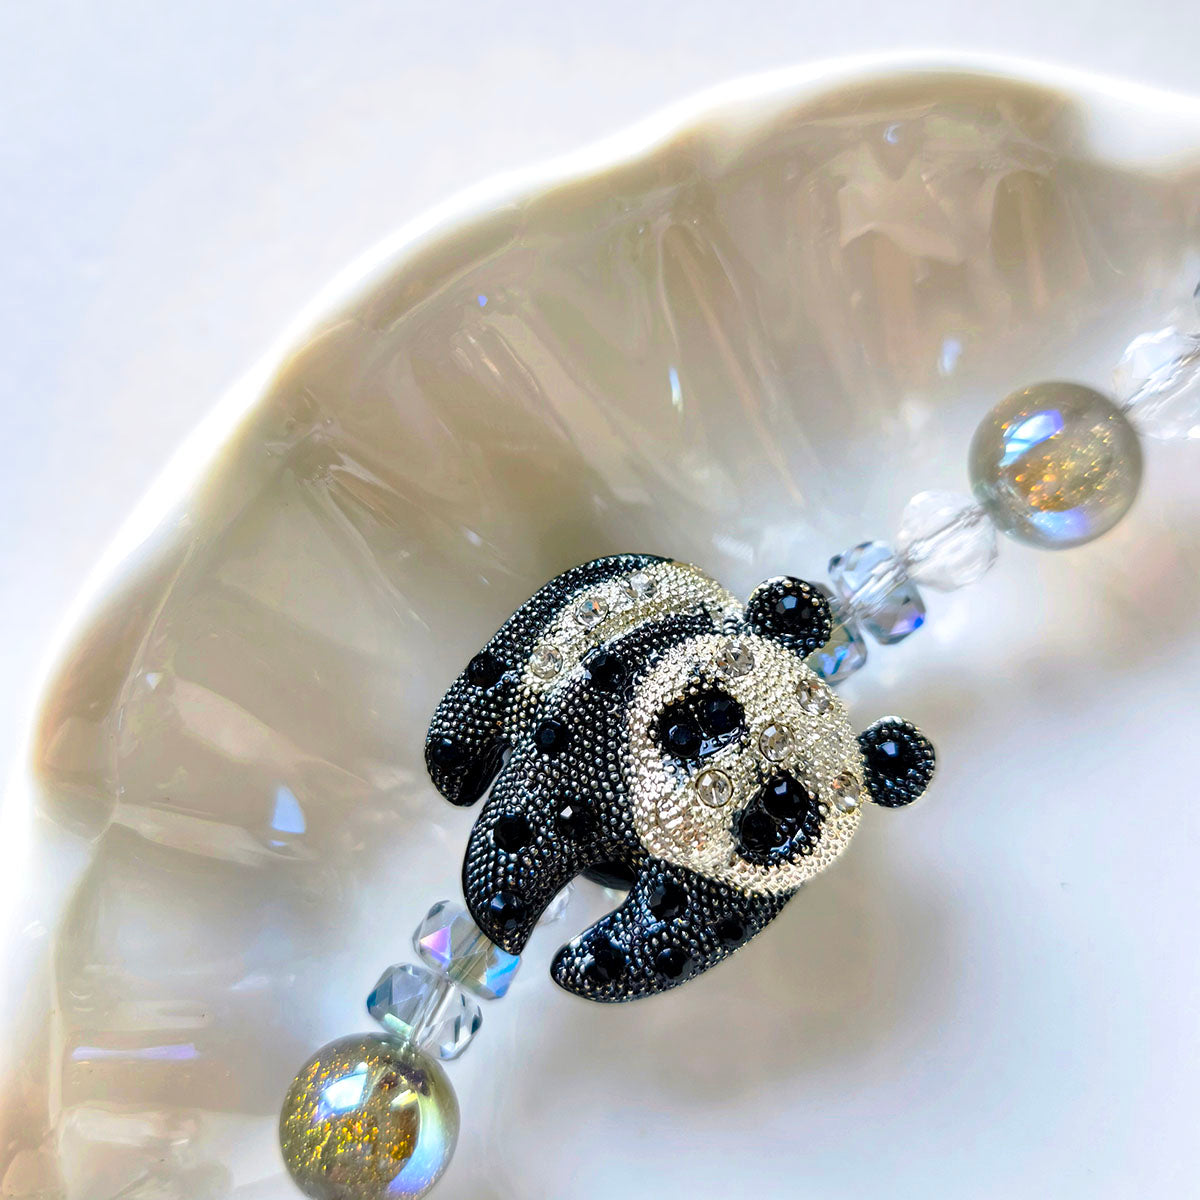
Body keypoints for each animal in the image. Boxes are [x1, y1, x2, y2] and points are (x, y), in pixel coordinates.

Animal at [425, 554, 935, 1003]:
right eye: (707, 719)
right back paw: (455, 767)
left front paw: (588, 961)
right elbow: (531, 818)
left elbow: (674, 937)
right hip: (561, 619)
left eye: (777, 809)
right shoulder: (597, 717)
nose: (685, 809)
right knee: (498, 679)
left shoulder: (727, 894)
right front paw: (505, 908)